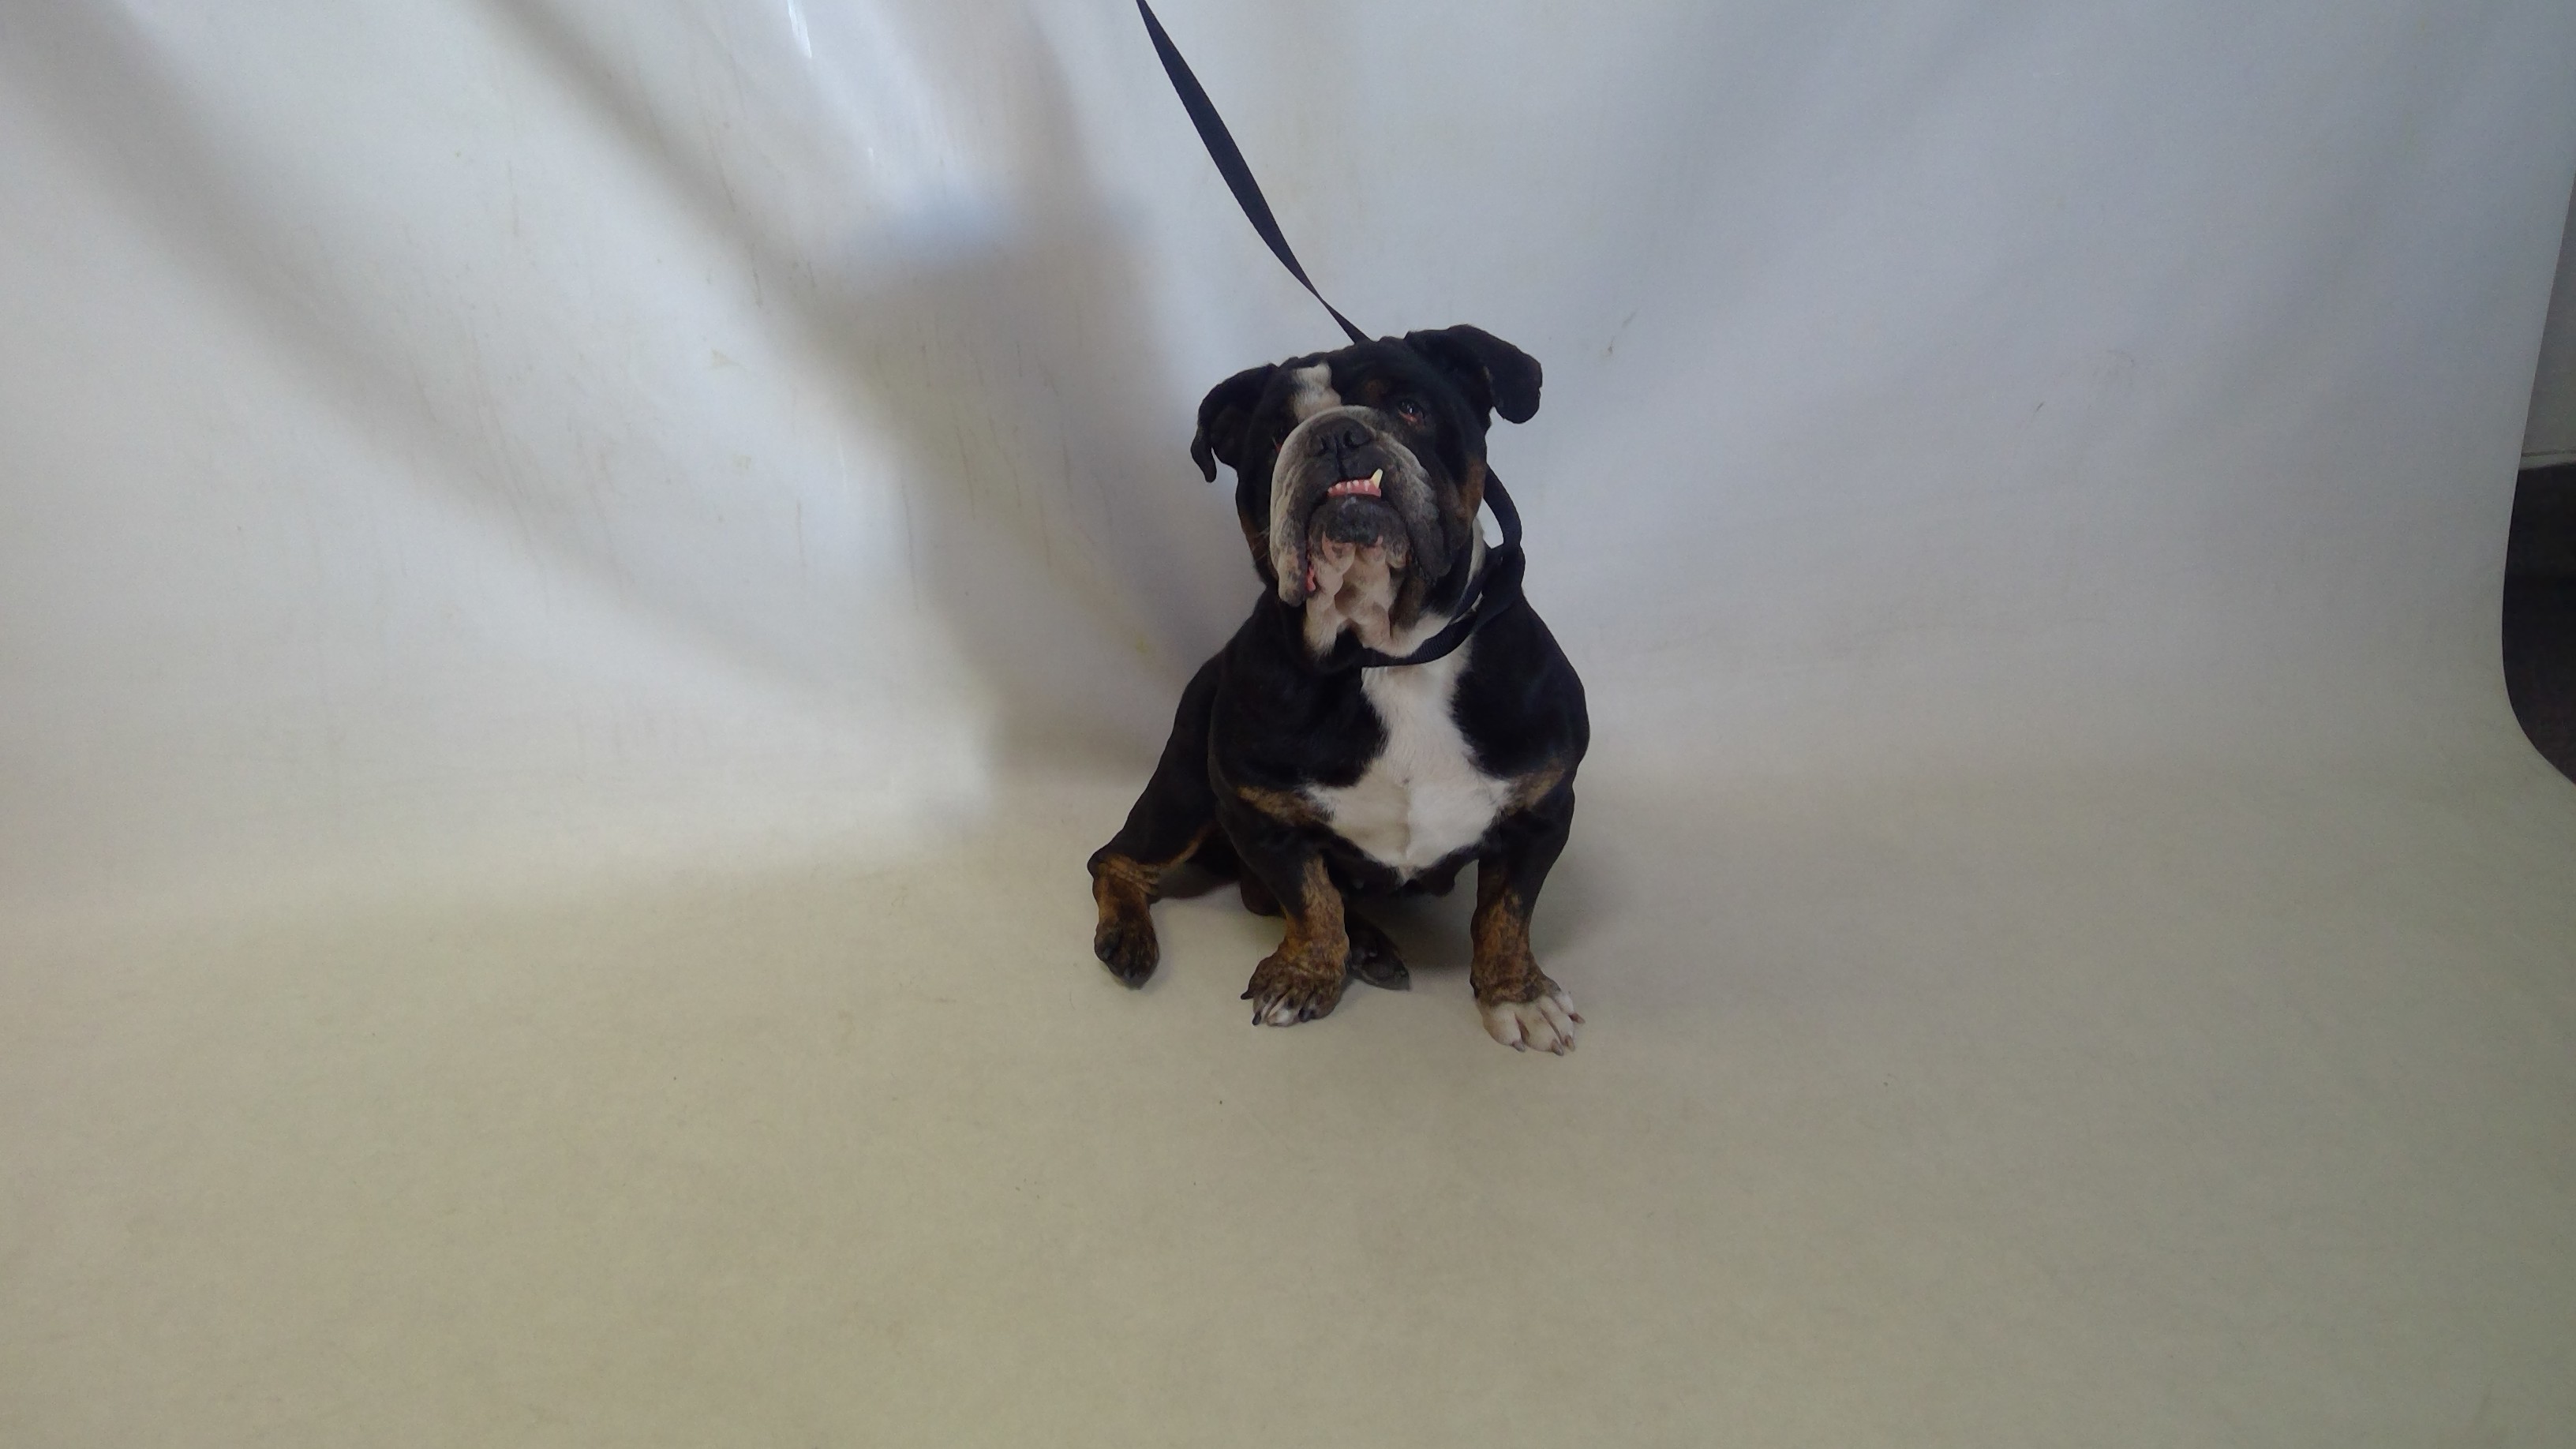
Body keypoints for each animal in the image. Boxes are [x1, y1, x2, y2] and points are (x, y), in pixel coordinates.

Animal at [1087, 325, 1588, 1053]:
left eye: (1411, 407)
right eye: (1273, 438)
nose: (1335, 436)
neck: (1386, 655)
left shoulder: (1541, 812)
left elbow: (1507, 913)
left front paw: (1517, 994)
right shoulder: (1258, 814)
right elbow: (1309, 900)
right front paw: (1305, 975)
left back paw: (1370, 943)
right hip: (1183, 792)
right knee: (1119, 861)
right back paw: (1128, 936)